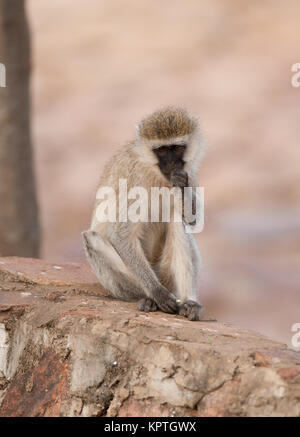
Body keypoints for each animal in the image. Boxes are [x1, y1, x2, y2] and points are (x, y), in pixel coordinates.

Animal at [82, 107, 205, 318]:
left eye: (177, 149)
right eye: (162, 150)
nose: (172, 166)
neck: (155, 172)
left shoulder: (190, 173)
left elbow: (192, 220)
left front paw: (181, 184)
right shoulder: (135, 178)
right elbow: (121, 235)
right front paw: (157, 293)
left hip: (165, 274)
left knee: (176, 220)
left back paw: (189, 302)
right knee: (92, 238)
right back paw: (148, 298)